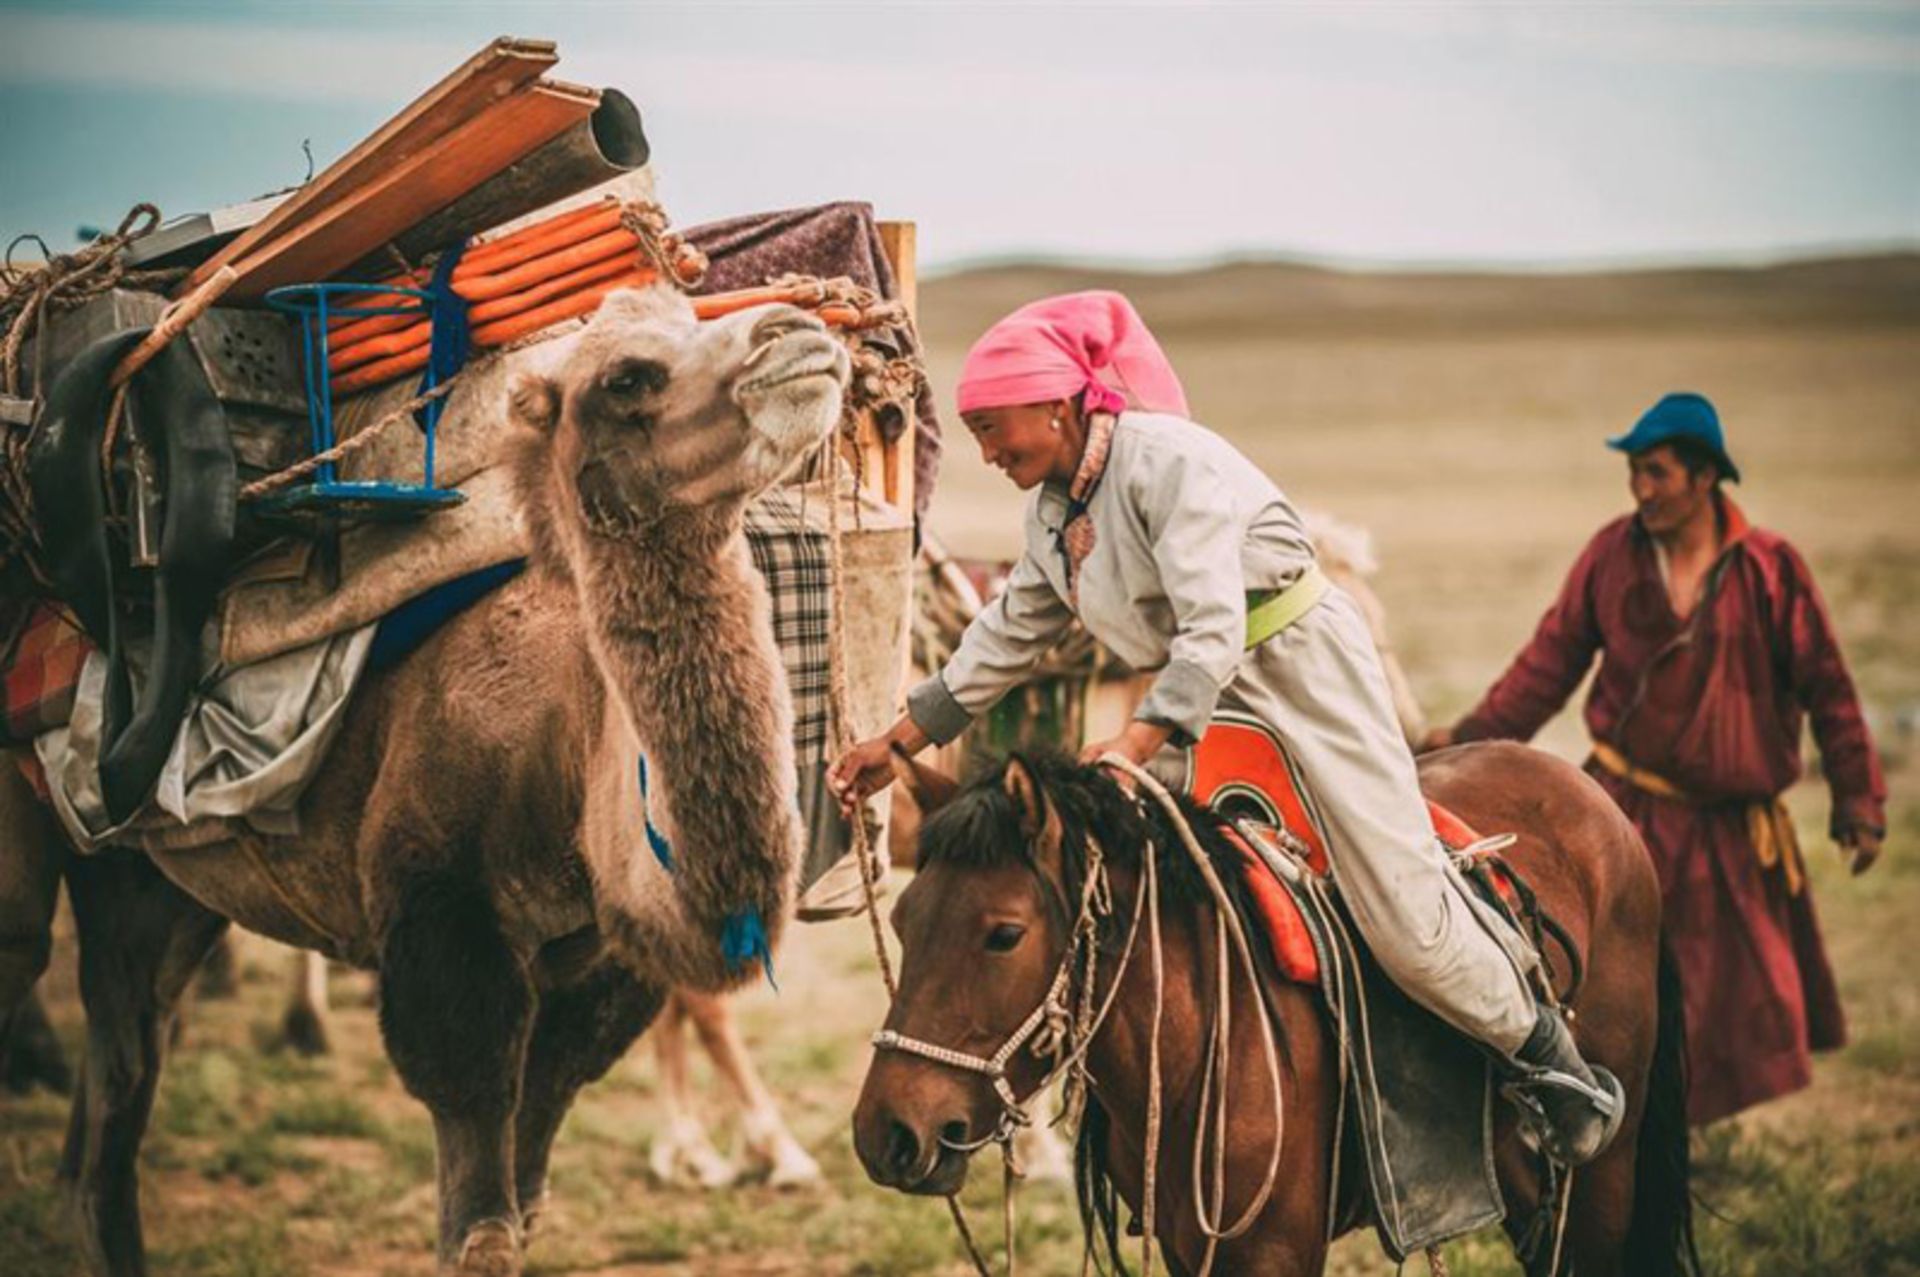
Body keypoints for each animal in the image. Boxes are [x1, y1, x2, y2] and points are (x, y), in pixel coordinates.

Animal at [852, 748, 1695, 1276]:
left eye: (1003, 934)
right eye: (902, 919)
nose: (886, 1133)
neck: (1194, 1047)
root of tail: (1596, 802)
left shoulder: (1272, 1254)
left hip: (1601, 1181)